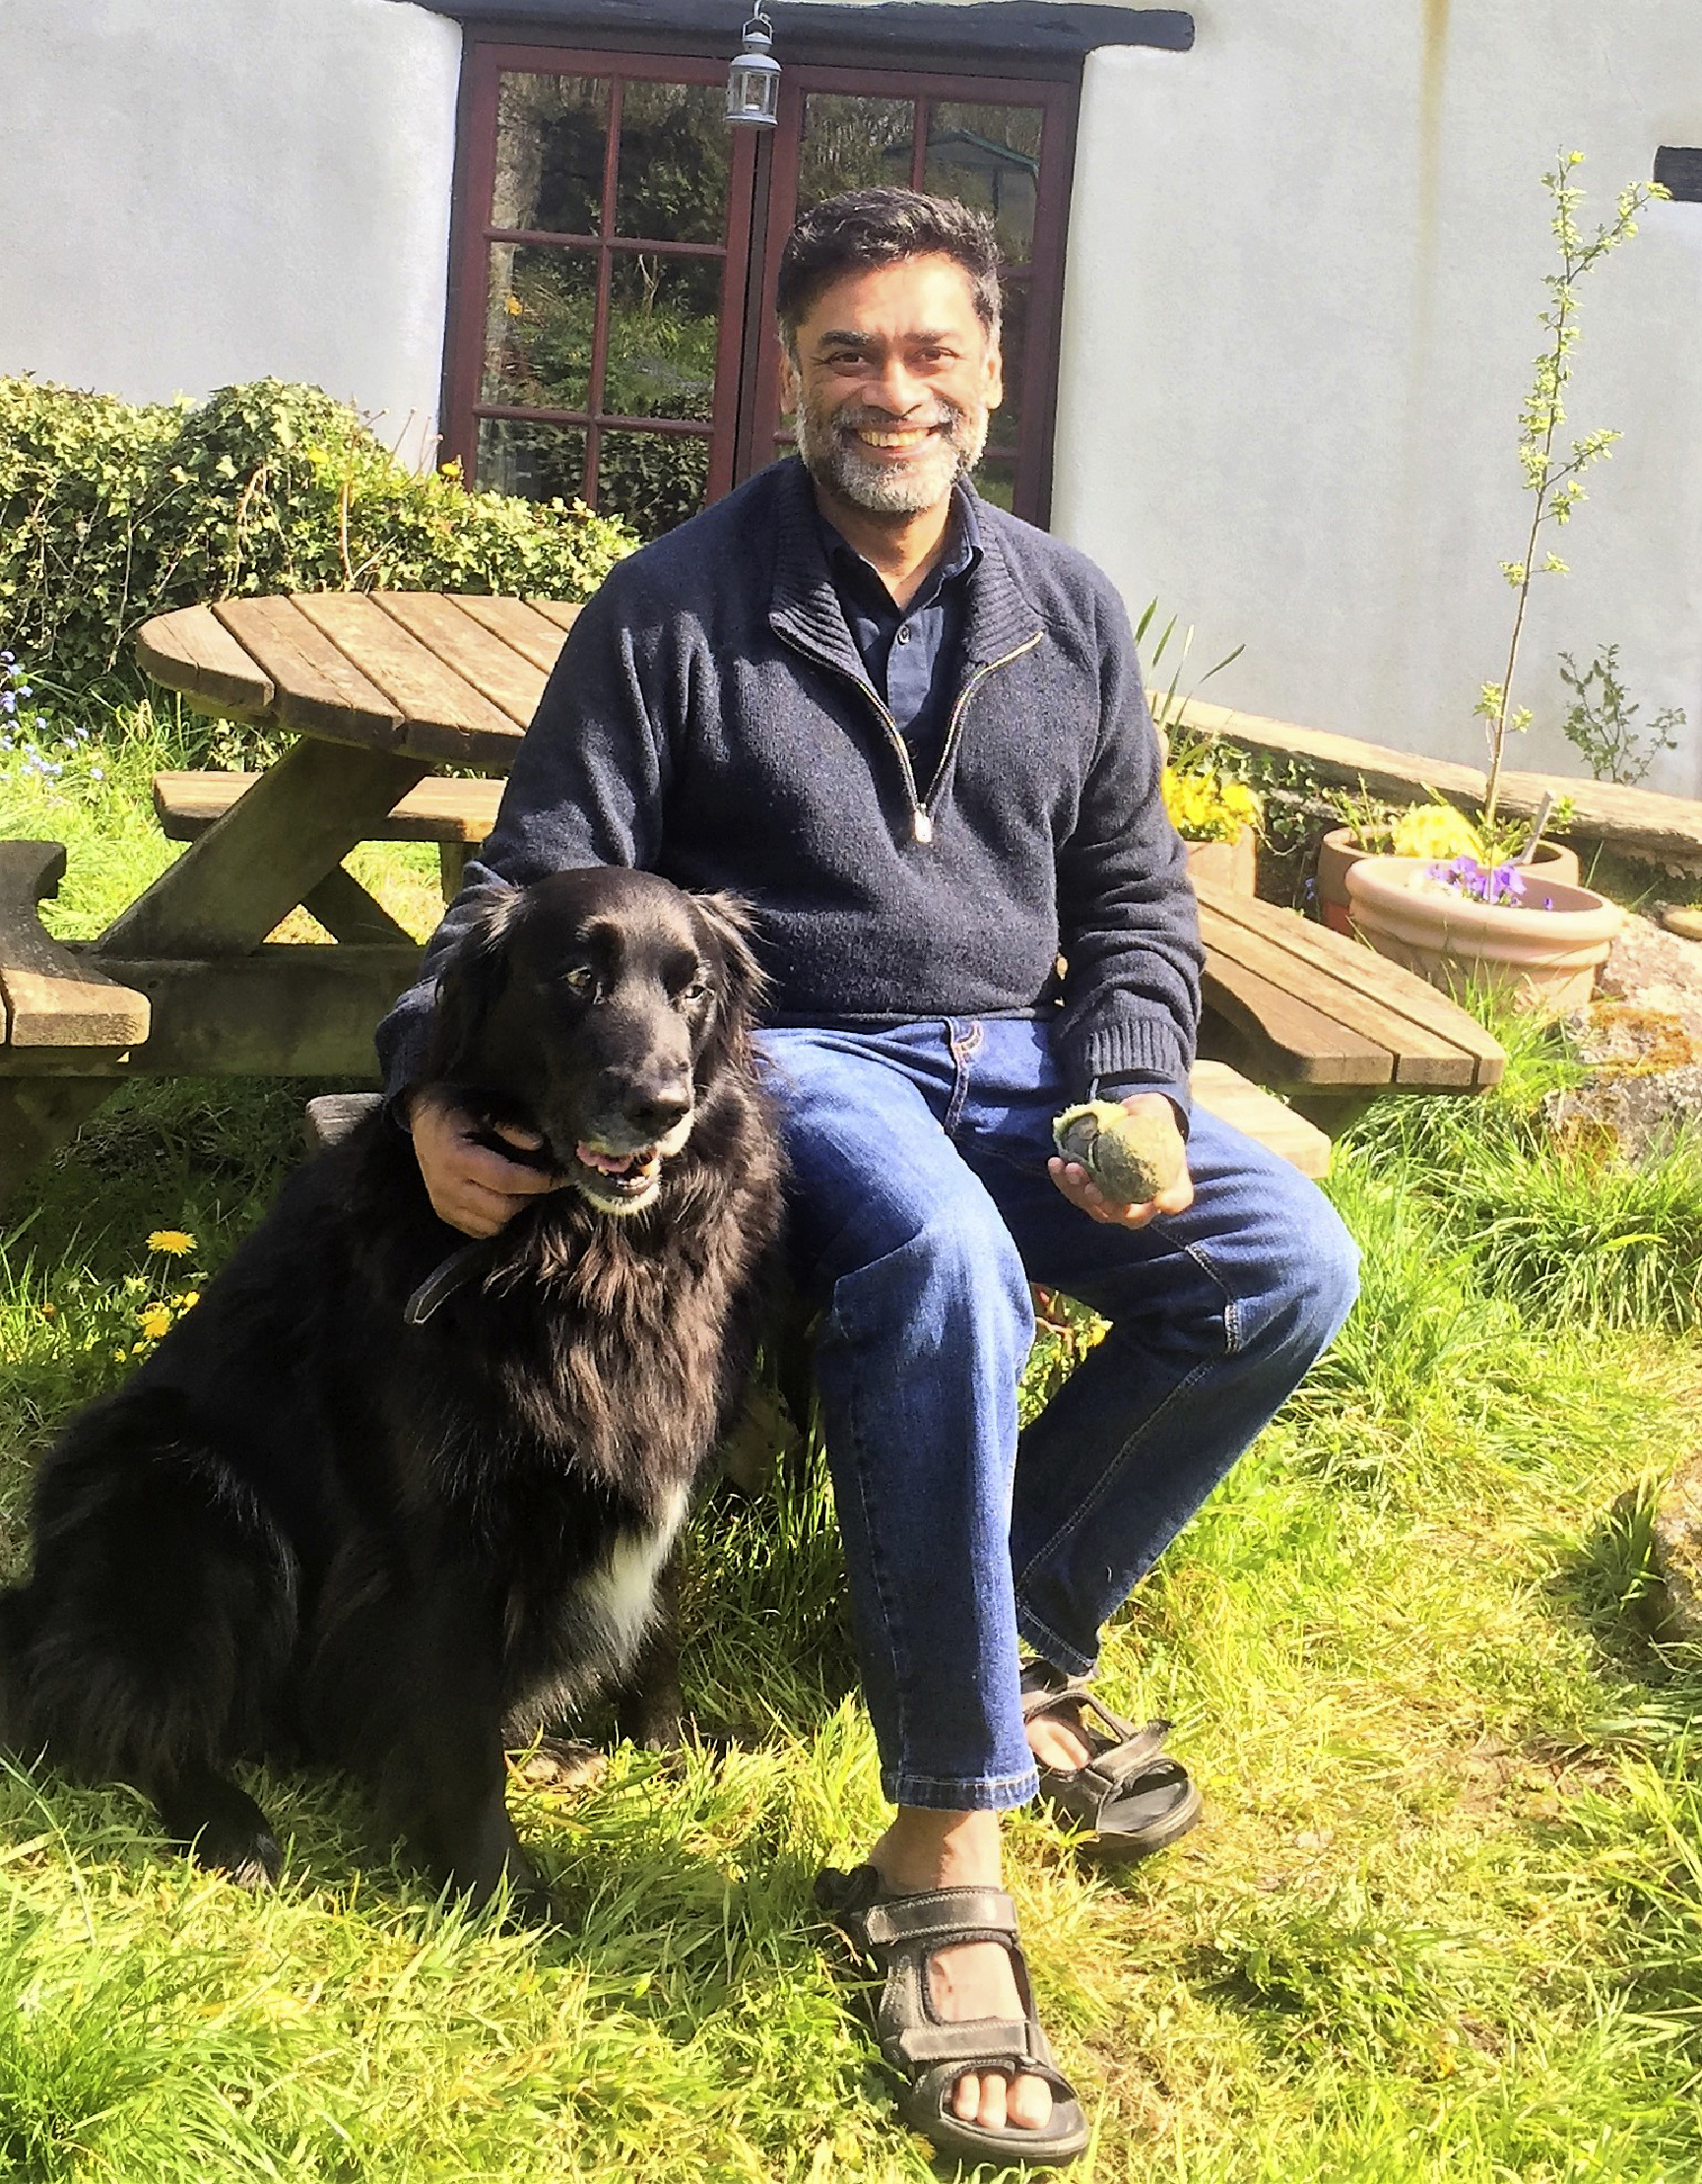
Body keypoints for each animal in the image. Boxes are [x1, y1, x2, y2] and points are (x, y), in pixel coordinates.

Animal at [0, 860, 786, 1921]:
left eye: (692, 990)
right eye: (577, 978)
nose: (660, 1105)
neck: (583, 1249)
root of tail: (40, 1604)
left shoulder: (658, 1447)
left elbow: (660, 1621)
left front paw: (673, 1752)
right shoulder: (445, 1525)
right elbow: (457, 1725)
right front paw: (497, 1896)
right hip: (180, 1488)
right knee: (129, 1711)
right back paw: (231, 1824)